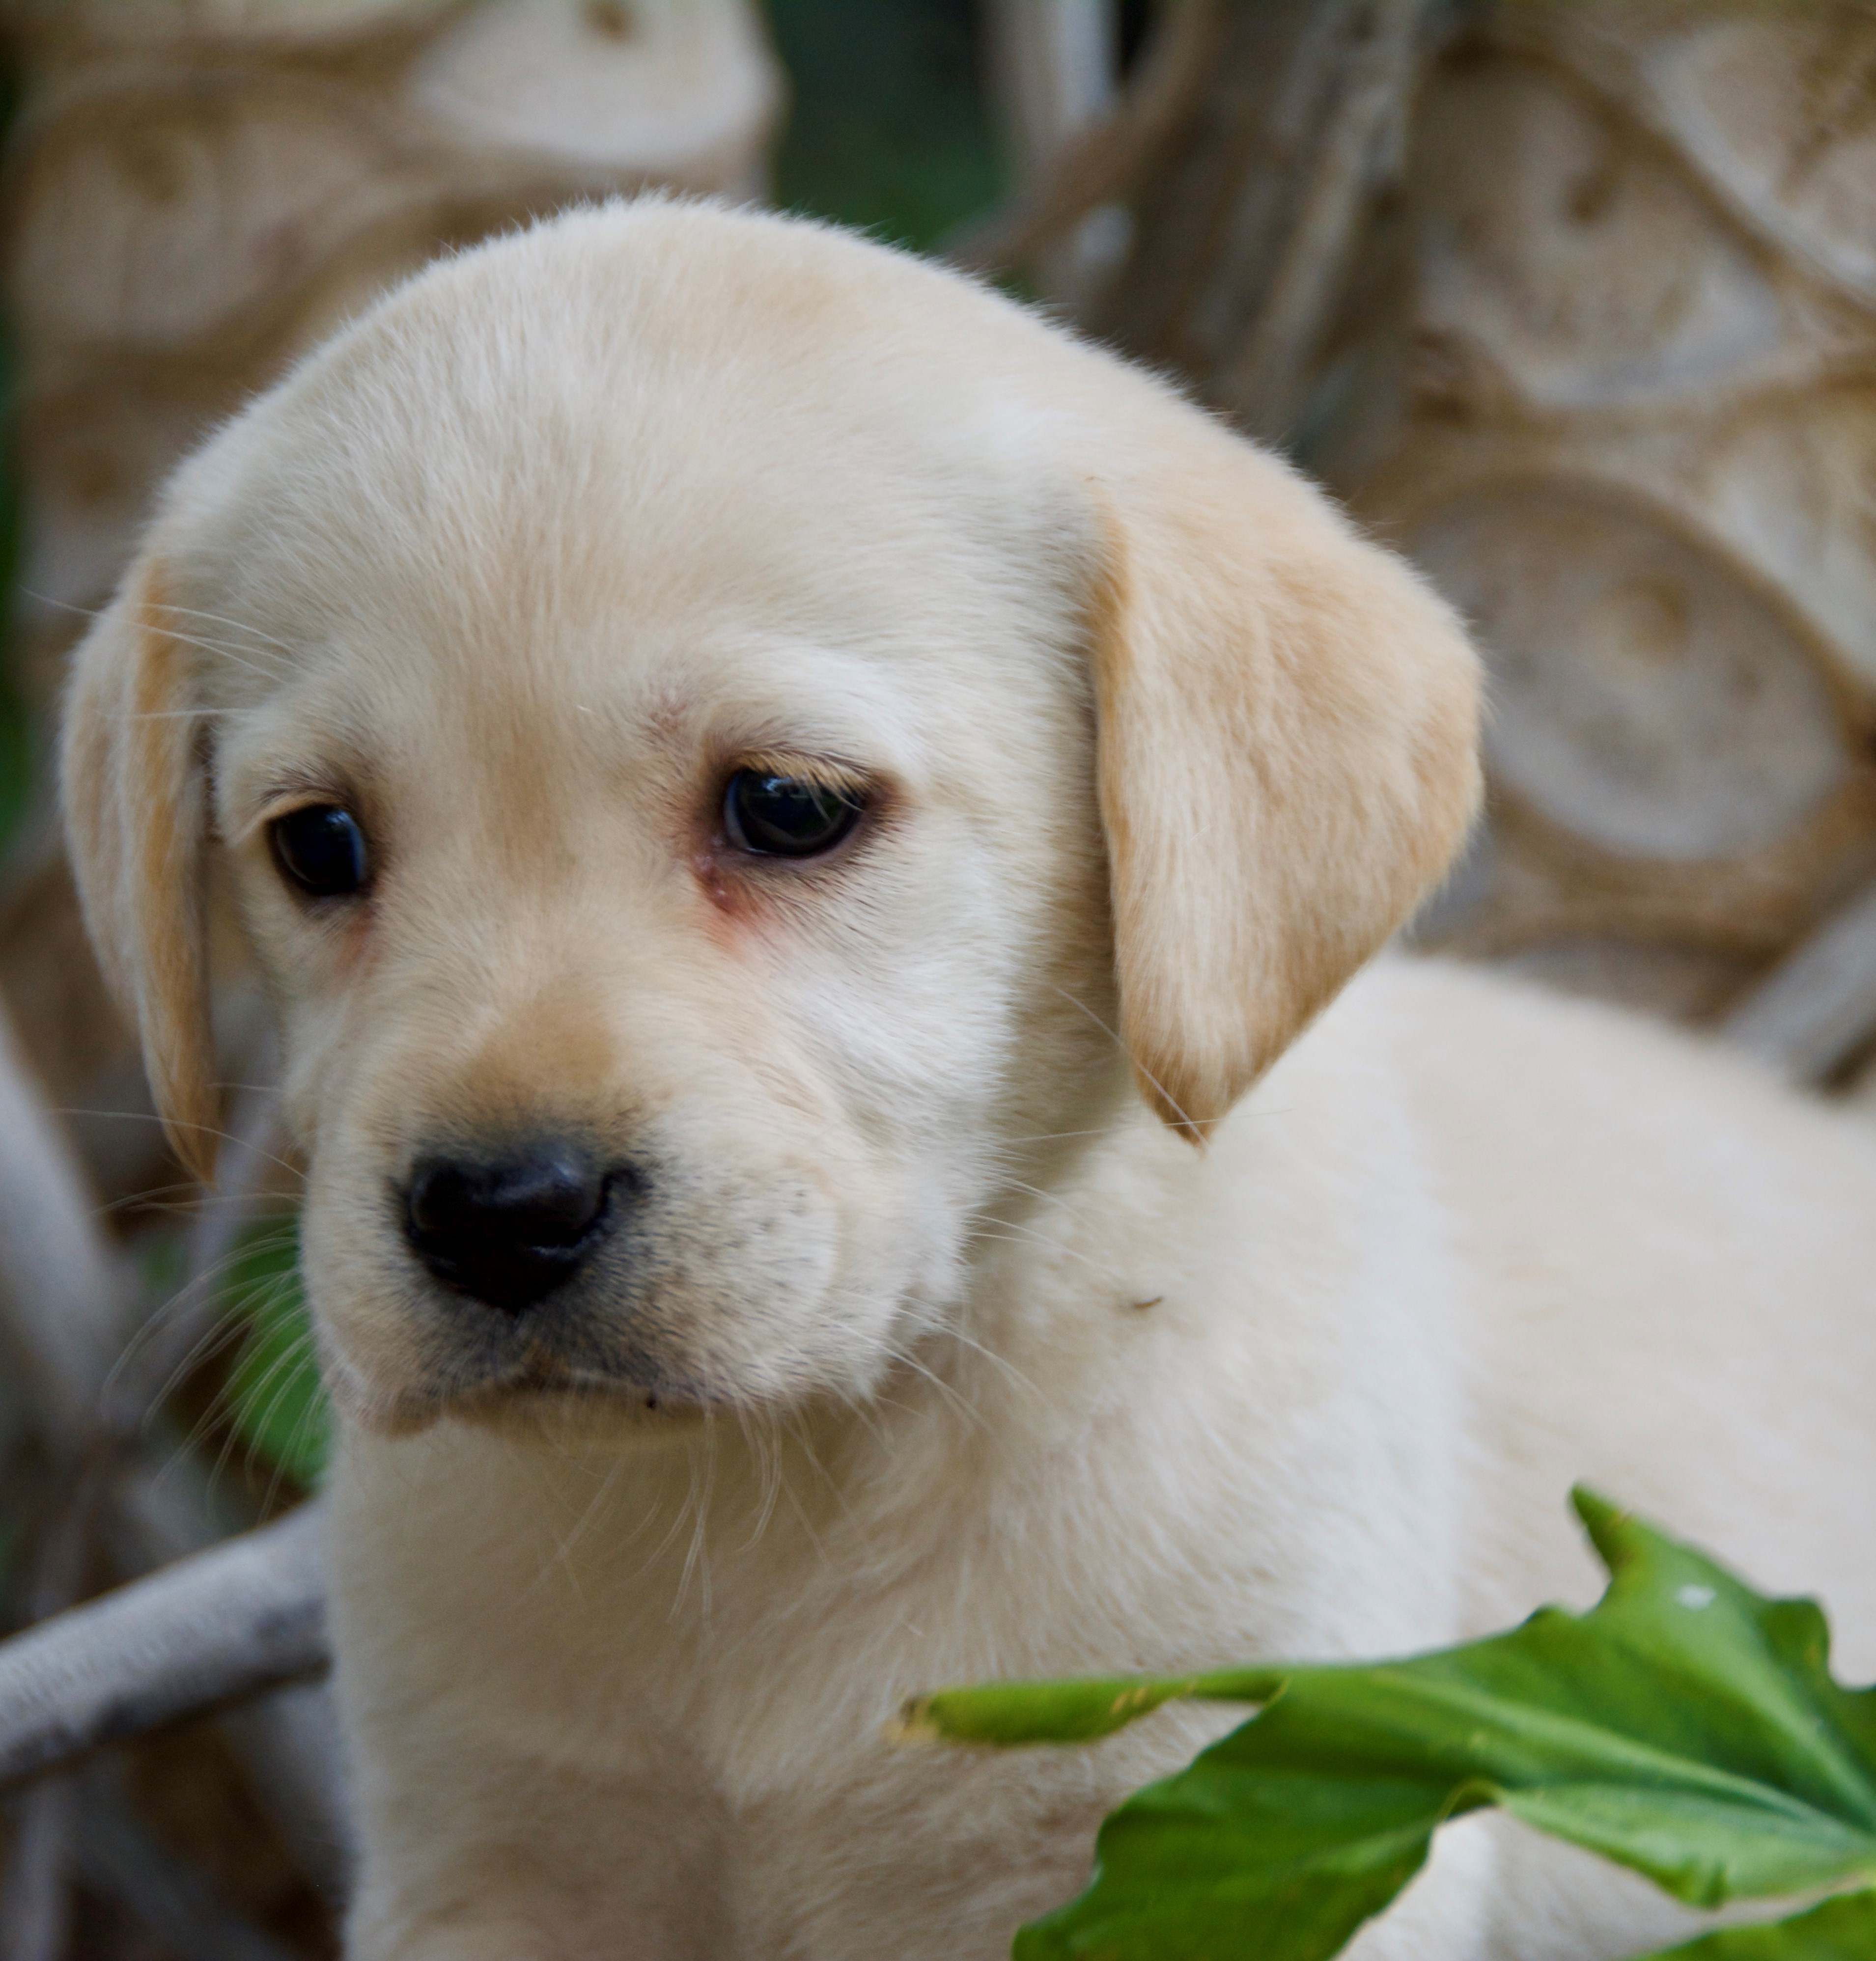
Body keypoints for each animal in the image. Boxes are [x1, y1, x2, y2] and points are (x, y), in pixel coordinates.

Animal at [65, 203, 1876, 1961]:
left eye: (789, 807)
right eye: (319, 845)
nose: (501, 1210)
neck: (786, 1483)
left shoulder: (1248, 1825)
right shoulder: (490, 1865)